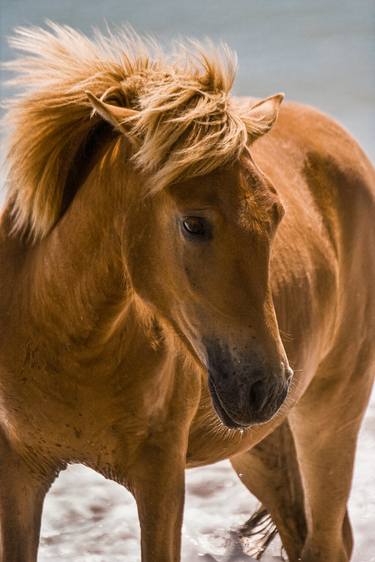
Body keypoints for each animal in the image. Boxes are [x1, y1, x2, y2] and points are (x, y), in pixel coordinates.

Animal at [0, 25, 375, 560]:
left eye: (277, 213)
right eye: (194, 224)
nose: (268, 387)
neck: (66, 342)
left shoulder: (161, 480)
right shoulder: (20, 474)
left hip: (330, 413)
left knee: (324, 540)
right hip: (262, 448)